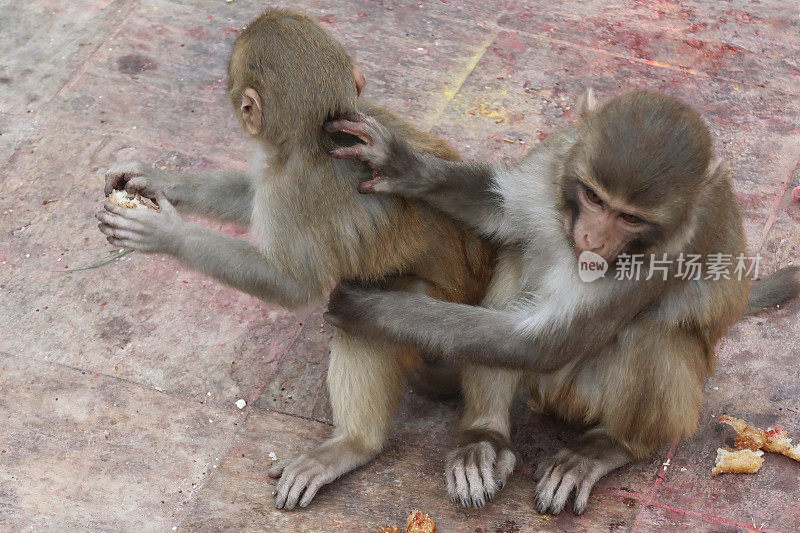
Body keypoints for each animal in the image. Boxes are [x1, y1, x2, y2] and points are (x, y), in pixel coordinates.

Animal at [95, 8, 494, 508]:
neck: (316, 138)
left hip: (442, 330)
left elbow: (292, 285)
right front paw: (155, 178)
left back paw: (353, 444)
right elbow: (249, 196)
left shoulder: (291, 186)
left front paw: (167, 233)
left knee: (364, 309)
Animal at [324, 89, 800, 512]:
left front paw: (367, 308)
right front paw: (402, 164)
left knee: (647, 330)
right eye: (593, 197)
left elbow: (545, 342)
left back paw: (607, 447)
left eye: (630, 218)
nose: (593, 238)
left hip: (594, 398)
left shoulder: (672, 249)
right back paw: (484, 435)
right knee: (520, 249)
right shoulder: (559, 153)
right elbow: (499, 211)